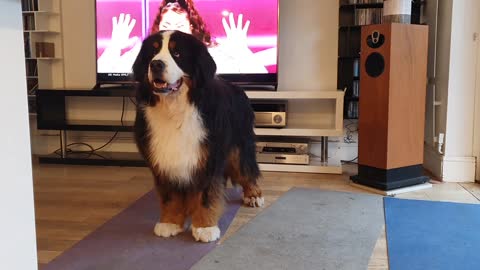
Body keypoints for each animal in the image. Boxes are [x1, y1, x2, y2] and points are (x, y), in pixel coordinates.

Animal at [131, 30, 264, 243]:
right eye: (152, 52)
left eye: (177, 53)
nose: (156, 64)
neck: (175, 108)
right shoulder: (163, 159)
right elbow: (170, 196)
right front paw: (169, 222)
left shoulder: (209, 157)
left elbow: (205, 195)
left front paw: (205, 227)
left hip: (240, 146)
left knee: (247, 170)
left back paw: (253, 195)